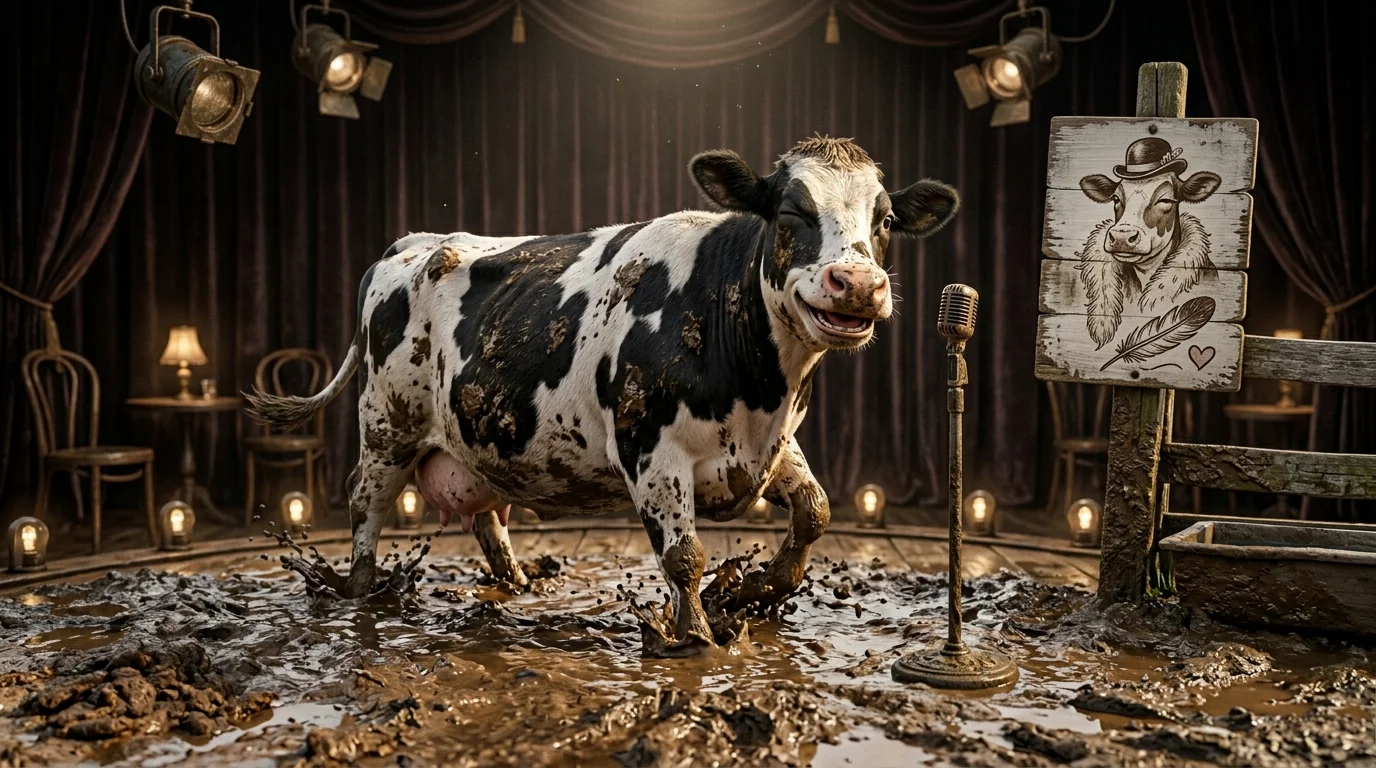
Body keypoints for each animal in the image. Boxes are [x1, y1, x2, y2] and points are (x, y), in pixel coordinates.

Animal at [248, 136, 958, 654]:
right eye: (790, 210)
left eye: (885, 219)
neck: (761, 386)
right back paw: (361, 591)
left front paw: (755, 589)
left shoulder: (771, 445)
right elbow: (684, 557)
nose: (857, 284)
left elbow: (815, 510)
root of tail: (414, 244)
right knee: (365, 507)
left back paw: (518, 583)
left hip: (479, 436)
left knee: (487, 515)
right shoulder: (651, 449)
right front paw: (698, 636)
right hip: (387, 426)